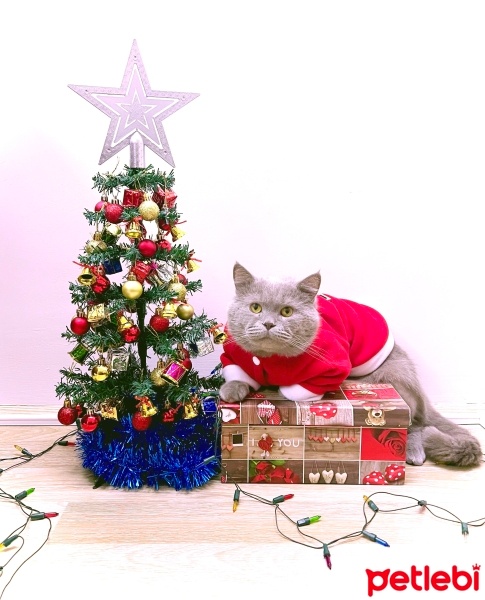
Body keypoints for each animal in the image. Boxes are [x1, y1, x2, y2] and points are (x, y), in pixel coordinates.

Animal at [218, 262, 480, 468]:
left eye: (287, 311)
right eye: (255, 307)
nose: (269, 324)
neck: (270, 359)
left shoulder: (332, 366)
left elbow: (298, 389)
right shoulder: (235, 356)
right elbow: (238, 373)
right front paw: (232, 390)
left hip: (395, 377)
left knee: (416, 423)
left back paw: (414, 452)